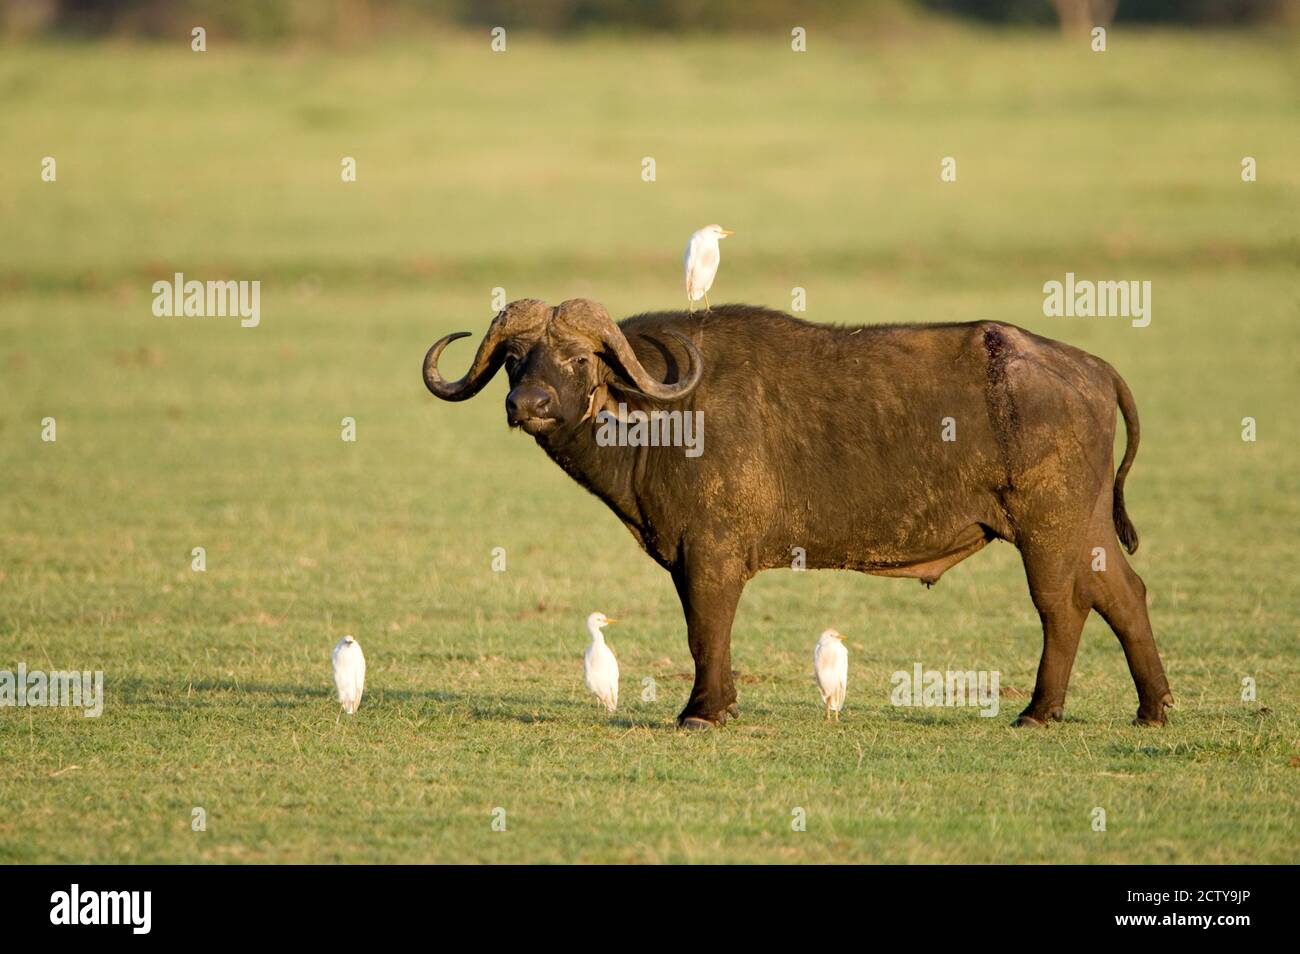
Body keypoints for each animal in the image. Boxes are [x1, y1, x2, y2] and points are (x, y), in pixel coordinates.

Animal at [422, 299, 1173, 729]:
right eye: (515, 358)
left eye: (578, 357)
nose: (528, 405)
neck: (657, 416)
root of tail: (1090, 366)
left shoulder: (711, 554)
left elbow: (706, 629)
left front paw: (703, 711)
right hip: (1085, 529)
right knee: (1123, 595)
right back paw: (1152, 708)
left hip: (1049, 530)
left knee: (1063, 607)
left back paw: (1040, 712)